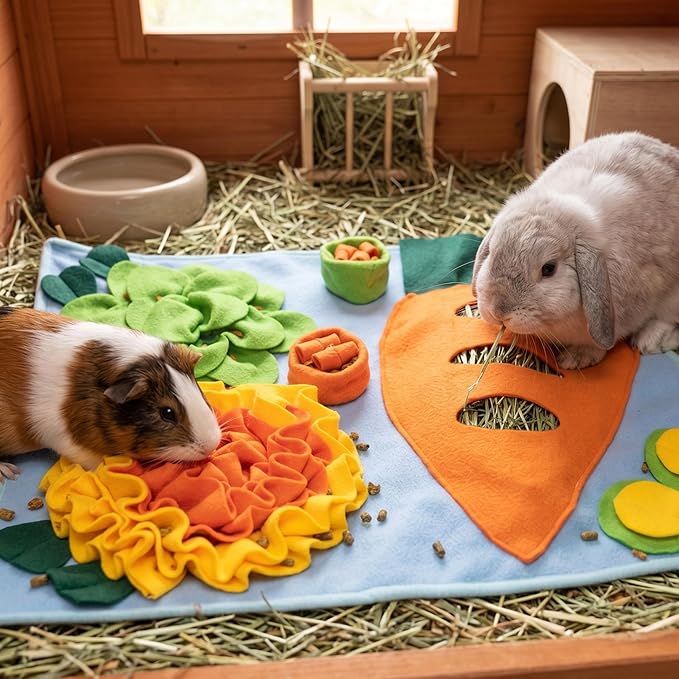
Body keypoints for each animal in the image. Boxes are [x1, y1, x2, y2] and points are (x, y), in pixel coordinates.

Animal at [471, 131, 679, 369]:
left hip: (673, 297)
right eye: (492, 253)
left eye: (549, 269)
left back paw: (648, 341)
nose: (499, 311)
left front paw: (575, 359)